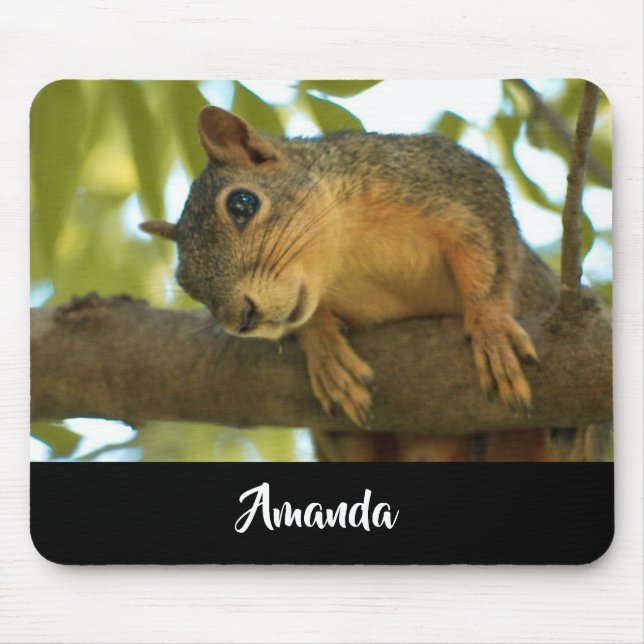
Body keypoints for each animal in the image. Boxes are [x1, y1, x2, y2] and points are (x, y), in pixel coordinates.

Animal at [141, 105, 591, 462]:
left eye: (242, 204)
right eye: (188, 285)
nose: (242, 319)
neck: (344, 258)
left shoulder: (451, 182)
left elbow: (489, 254)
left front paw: (490, 326)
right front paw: (323, 346)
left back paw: (573, 430)